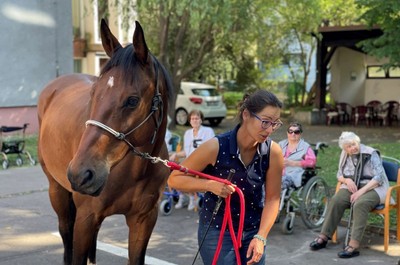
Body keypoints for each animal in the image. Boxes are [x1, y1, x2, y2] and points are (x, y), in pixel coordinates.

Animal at [38, 19, 173, 264]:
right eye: (94, 94)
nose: (80, 174)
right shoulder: (85, 218)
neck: (134, 171)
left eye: (132, 100)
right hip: (57, 191)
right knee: (65, 232)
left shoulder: (143, 220)